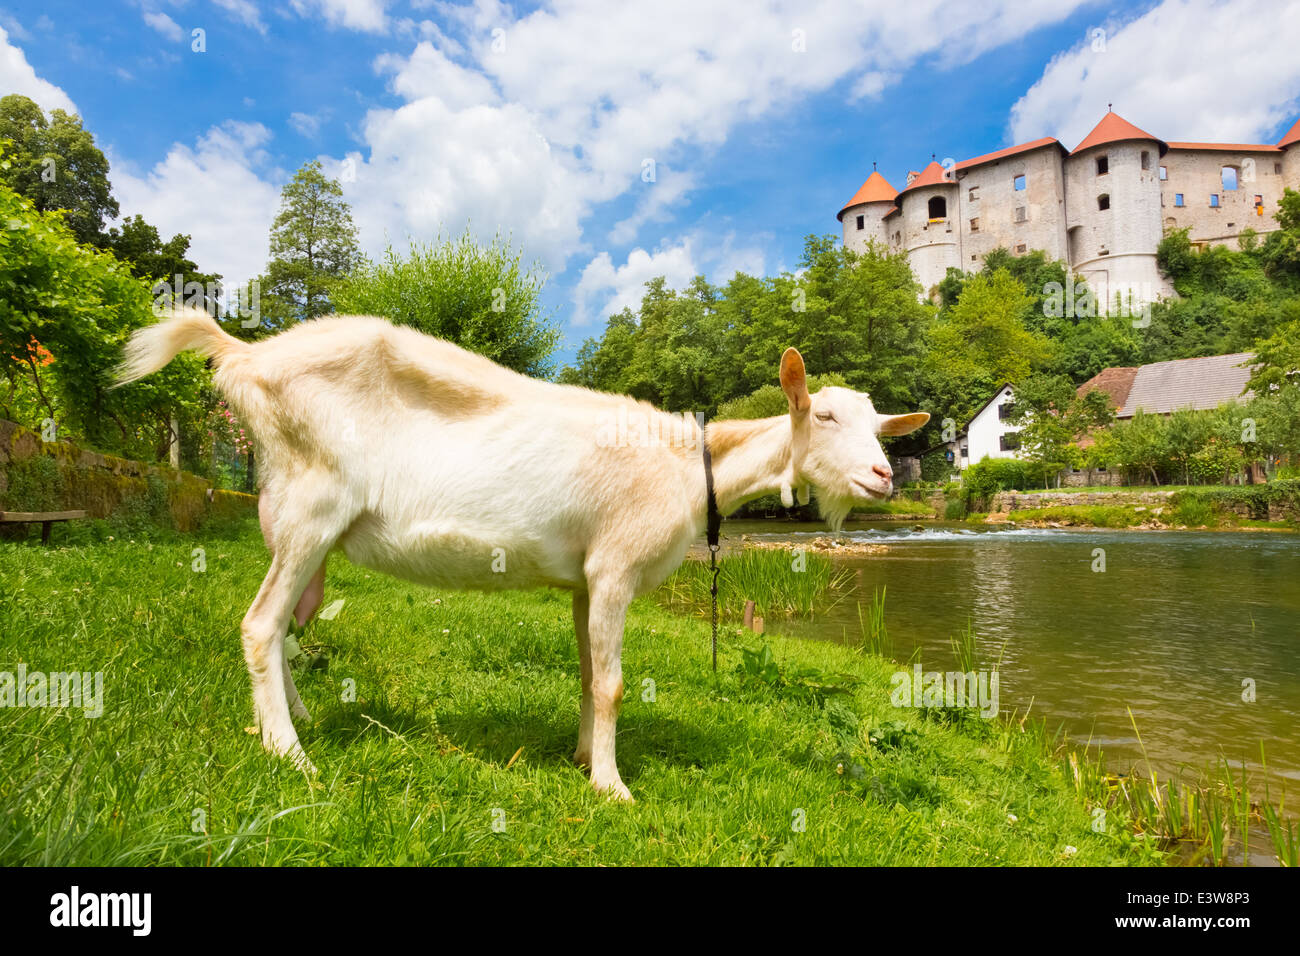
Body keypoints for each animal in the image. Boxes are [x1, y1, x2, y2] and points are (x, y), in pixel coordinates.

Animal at [111, 312, 925, 801]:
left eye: (879, 424)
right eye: (823, 415)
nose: (884, 475)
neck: (687, 467)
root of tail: (245, 356)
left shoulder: (585, 578)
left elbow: (589, 675)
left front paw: (584, 759)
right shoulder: (616, 567)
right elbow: (615, 684)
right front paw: (612, 788)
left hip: (299, 521)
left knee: (280, 624)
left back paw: (295, 722)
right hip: (313, 501)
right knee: (259, 625)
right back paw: (291, 756)